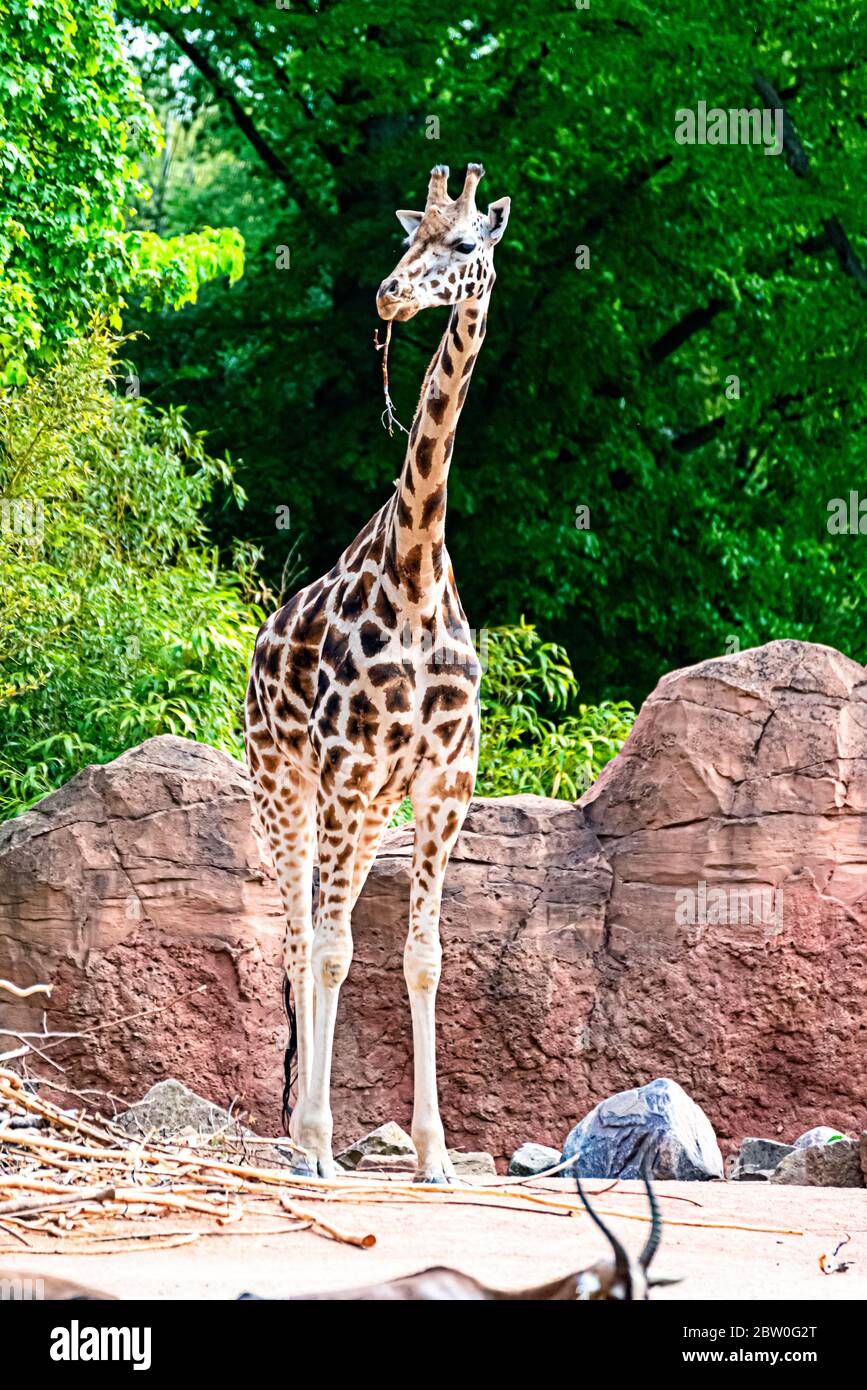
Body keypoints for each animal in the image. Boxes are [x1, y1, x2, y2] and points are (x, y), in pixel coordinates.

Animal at [245, 165, 508, 1184]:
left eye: (464, 244)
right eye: (409, 238)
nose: (390, 295)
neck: (416, 567)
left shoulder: (442, 785)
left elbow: (421, 956)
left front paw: (435, 1156)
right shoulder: (350, 773)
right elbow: (328, 950)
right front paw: (316, 1141)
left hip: (354, 810)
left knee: (325, 927)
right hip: (284, 786)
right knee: (296, 937)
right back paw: (298, 1139)